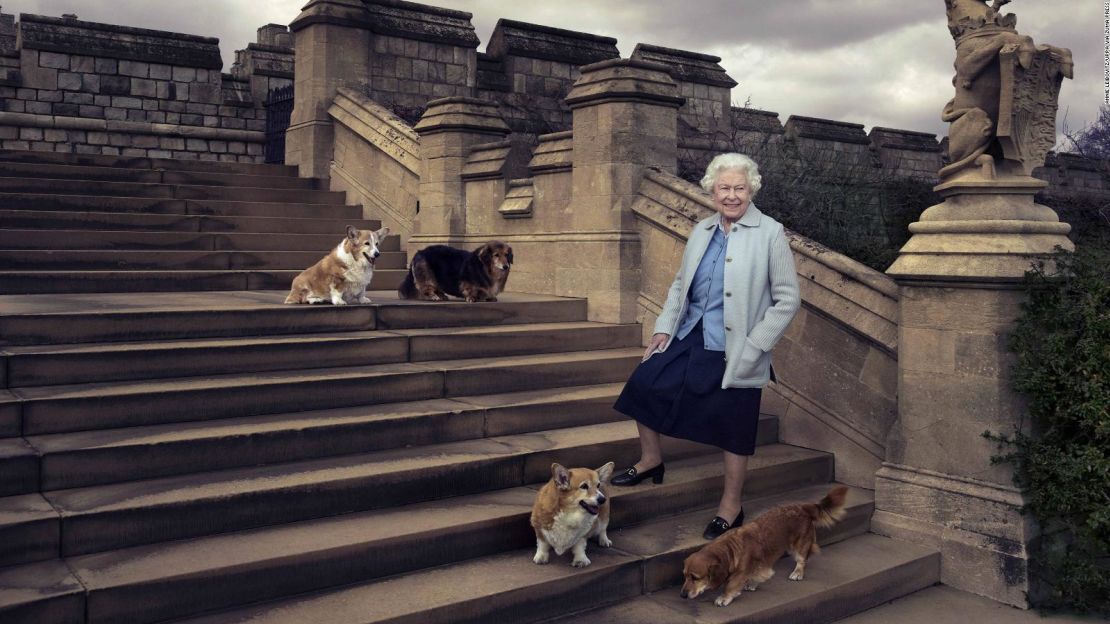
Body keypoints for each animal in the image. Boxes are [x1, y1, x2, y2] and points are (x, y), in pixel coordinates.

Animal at [674, 484, 848, 604]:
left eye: (695, 578)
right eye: (685, 576)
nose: (682, 595)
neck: (730, 549)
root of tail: (803, 507)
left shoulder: (741, 571)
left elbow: (731, 584)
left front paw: (724, 597)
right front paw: (752, 583)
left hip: (798, 546)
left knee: (802, 560)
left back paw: (798, 573)